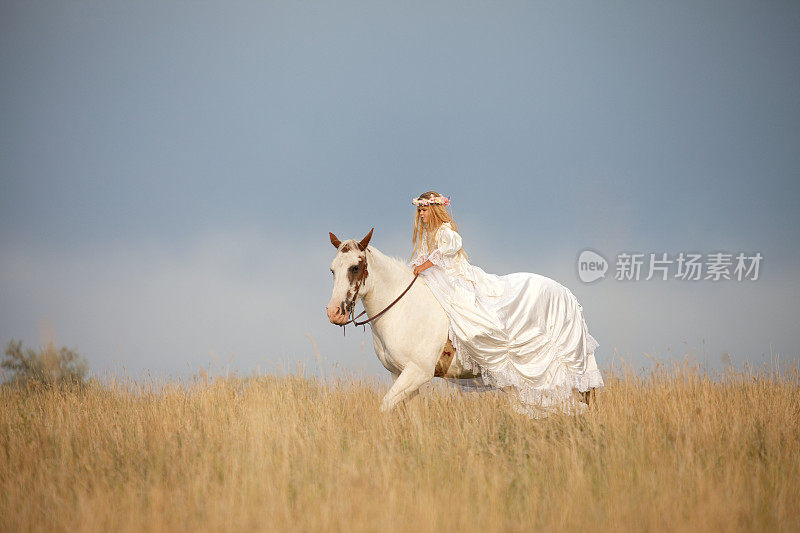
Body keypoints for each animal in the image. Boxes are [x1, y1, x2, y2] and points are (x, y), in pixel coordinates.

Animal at [324, 227, 478, 410]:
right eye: (333, 270)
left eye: (355, 267)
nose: (334, 312)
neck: (404, 312)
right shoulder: (398, 373)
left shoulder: (418, 372)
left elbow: (385, 405)